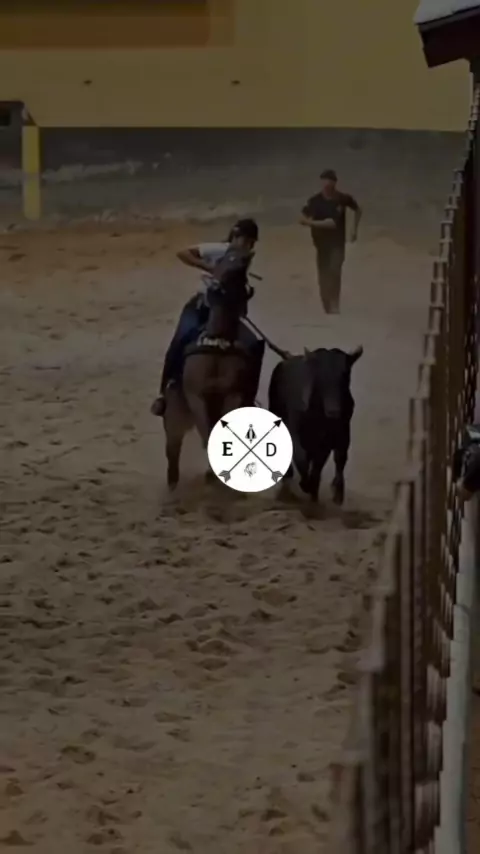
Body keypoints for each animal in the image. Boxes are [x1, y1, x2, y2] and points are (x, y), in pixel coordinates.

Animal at [267, 345, 363, 504]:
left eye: (346, 374)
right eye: (320, 377)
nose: (334, 411)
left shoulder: (327, 441)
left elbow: (319, 464)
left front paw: (312, 488)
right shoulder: (294, 431)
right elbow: (300, 457)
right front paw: (305, 484)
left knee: (338, 459)